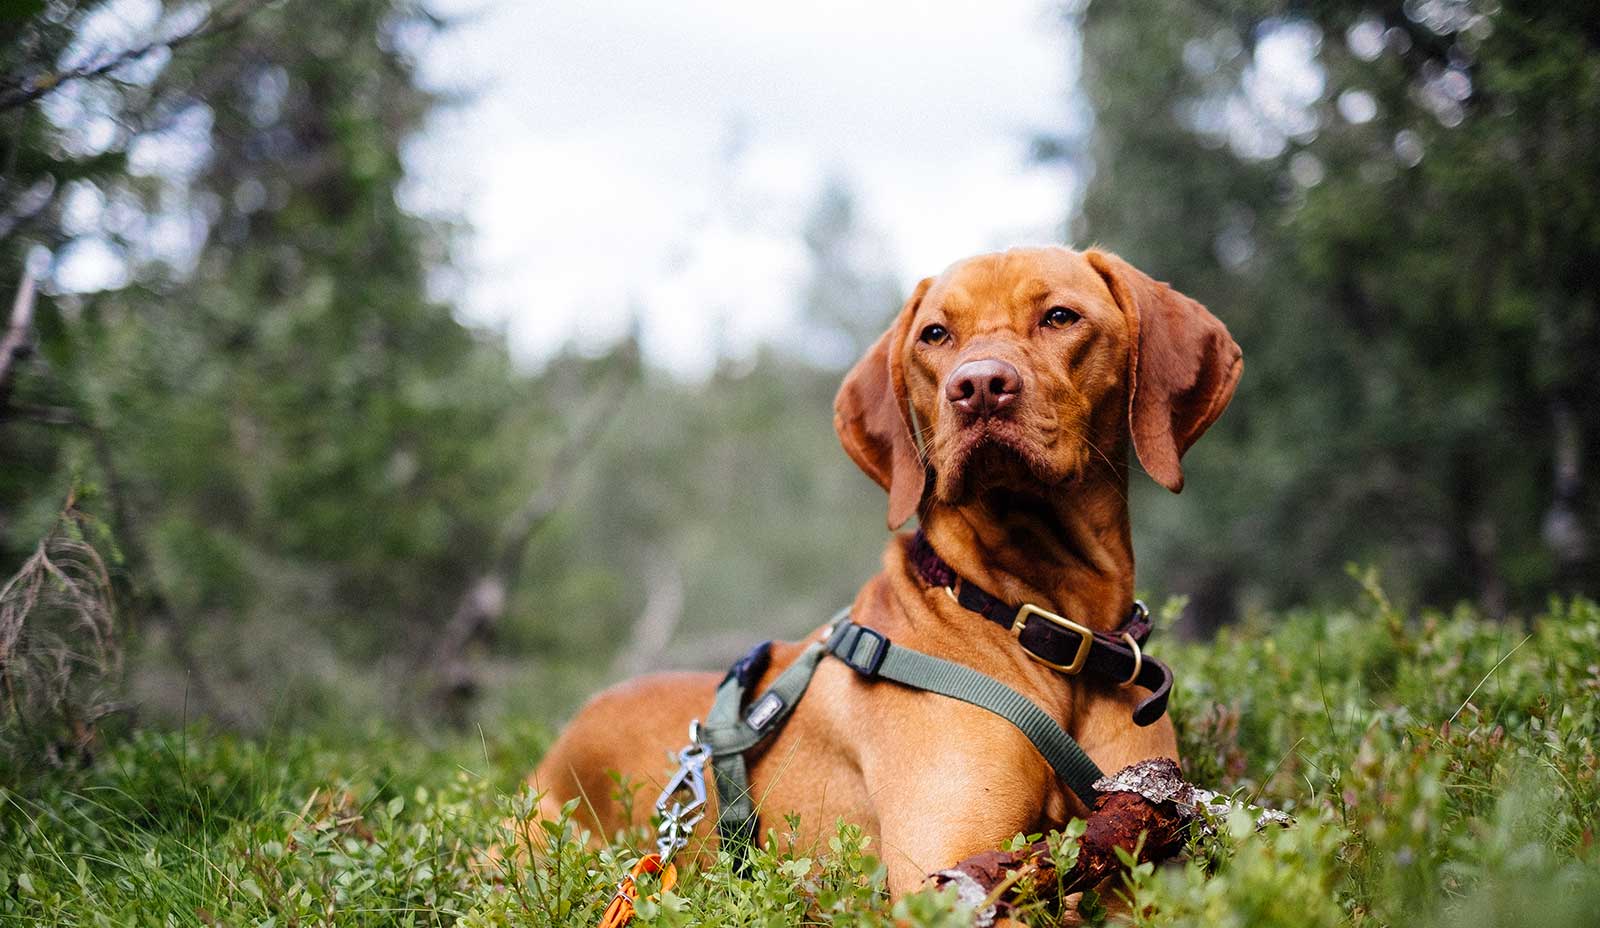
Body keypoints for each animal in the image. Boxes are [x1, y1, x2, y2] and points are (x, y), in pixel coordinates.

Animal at [531, 243, 1241, 896]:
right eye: (936, 334)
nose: (977, 386)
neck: (1032, 615)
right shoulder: (944, 865)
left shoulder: (1139, 840)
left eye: (1060, 317)